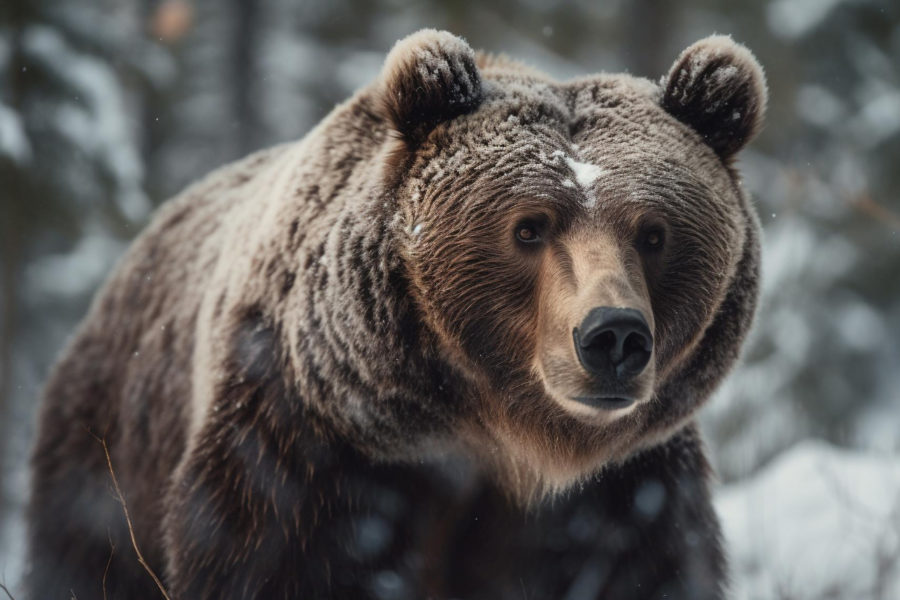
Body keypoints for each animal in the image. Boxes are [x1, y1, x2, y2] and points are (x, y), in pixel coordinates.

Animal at [24, 29, 764, 600]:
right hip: (111, 451)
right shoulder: (307, 450)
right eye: (529, 228)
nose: (611, 335)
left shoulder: (624, 493)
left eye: (654, 233)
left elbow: (642, 568)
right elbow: (272, 562)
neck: (502, 443)